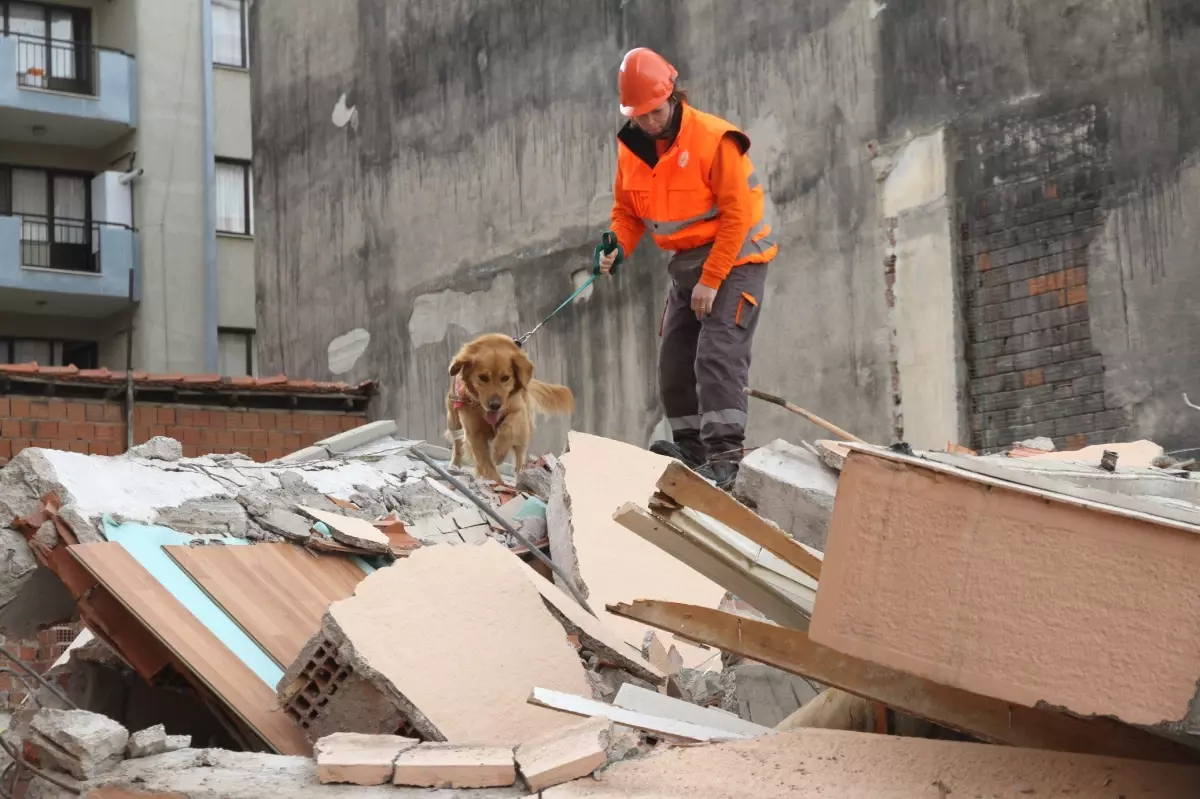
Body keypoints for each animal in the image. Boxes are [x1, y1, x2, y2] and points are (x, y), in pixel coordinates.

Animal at [446, 333, 576, 482]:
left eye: (505, 378)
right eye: (483, 377)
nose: (495, 405)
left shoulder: (518, 410)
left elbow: (507, 428)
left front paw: (498, 452)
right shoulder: (474, 433)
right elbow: (486, 464)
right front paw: (495, 481)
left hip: (524, 431)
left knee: (519, 456)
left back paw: (521, 475)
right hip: (453, 420)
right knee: (457, 445)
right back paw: (455, 465)